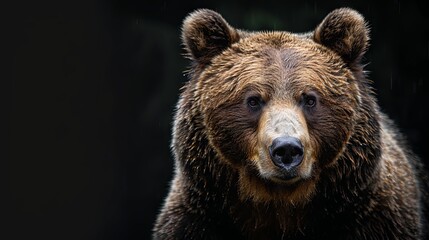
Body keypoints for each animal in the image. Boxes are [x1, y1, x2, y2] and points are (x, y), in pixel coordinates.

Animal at [152, 7, 426, 240]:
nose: (286, 149)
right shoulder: (197, 219)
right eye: (253, 100)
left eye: (310, 99)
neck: (280, 204)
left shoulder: (374, 217)